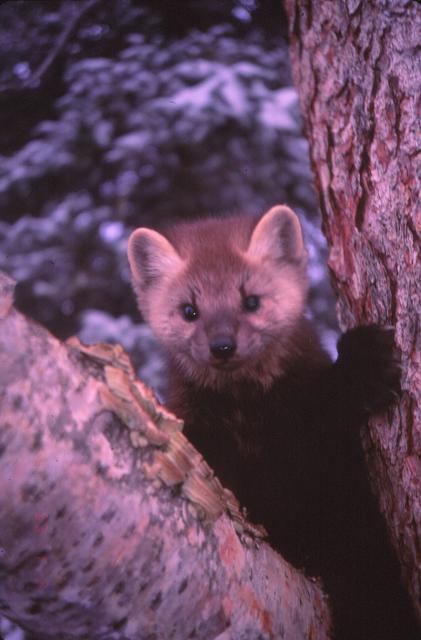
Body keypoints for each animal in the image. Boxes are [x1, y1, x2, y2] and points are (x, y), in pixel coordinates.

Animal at [128, 205, 418, 640]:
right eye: (189, 310)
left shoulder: (314, 434)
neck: (252, 423)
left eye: (251, 300)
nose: (222, 345)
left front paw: (367, 357)